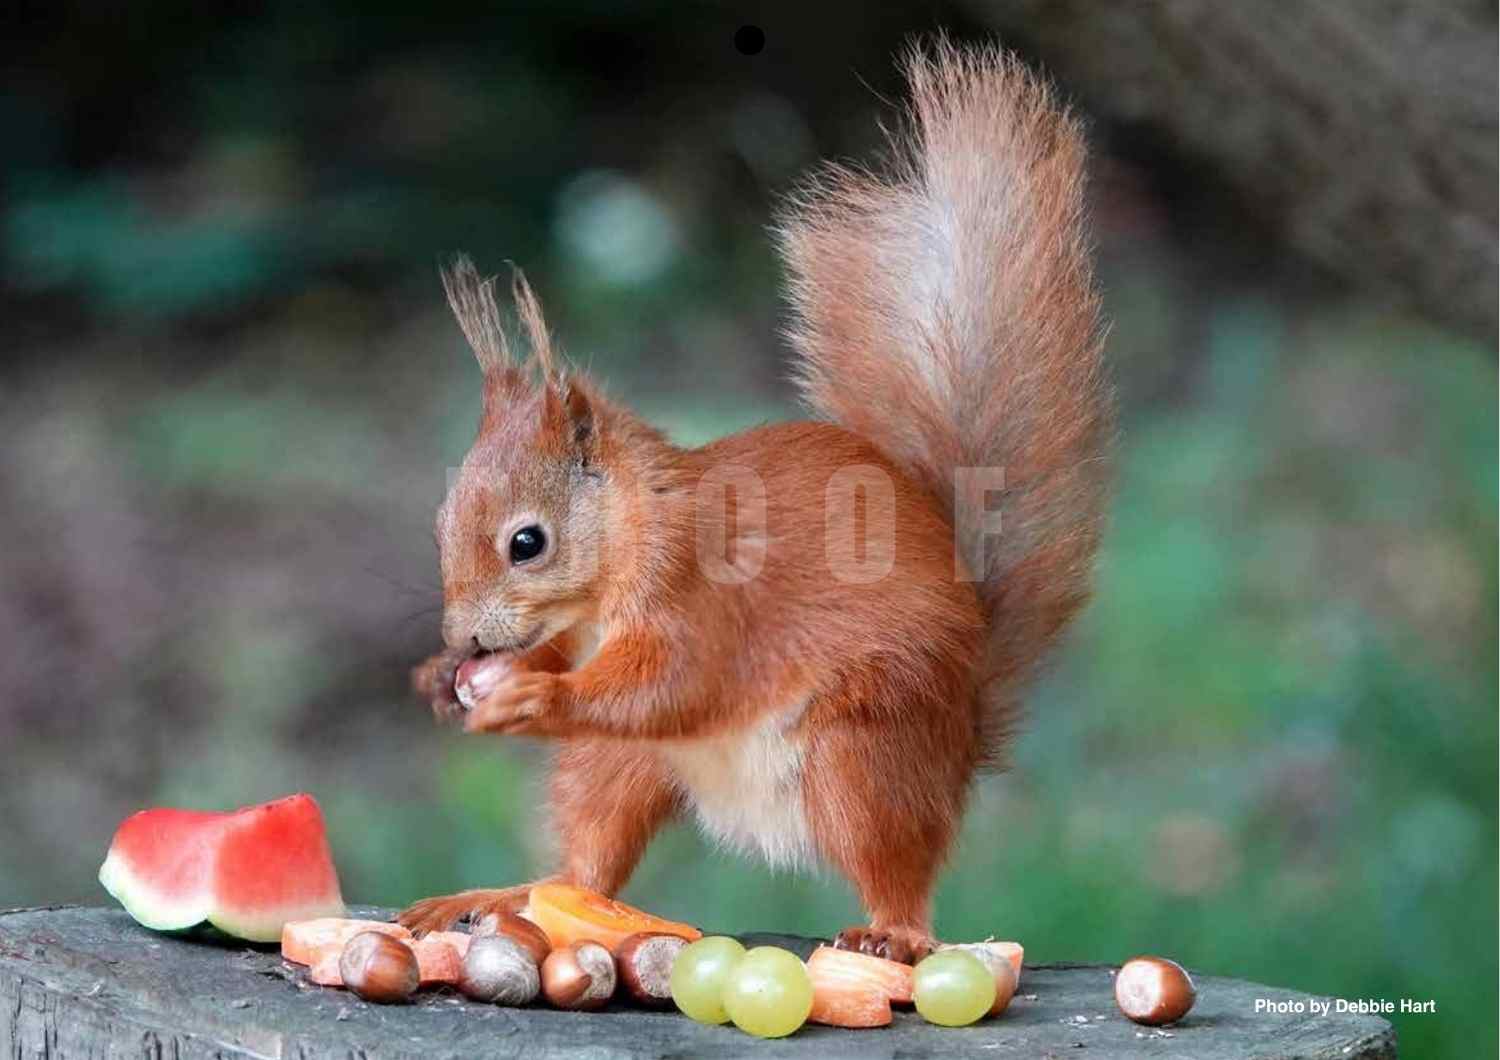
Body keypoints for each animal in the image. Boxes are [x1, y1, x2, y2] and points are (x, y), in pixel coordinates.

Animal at [399, 39, 1111, 964]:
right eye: (442, 526)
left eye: (528, 542)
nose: (463, 639)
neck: (628, 532)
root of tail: (961, 740)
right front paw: (441, 677)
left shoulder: (701, 591)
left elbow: (675, 681)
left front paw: (532, 698)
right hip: (622, 765)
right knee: (587, 859)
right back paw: (507, 894)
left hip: (864, 747)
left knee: (896, 868)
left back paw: (894, 934)